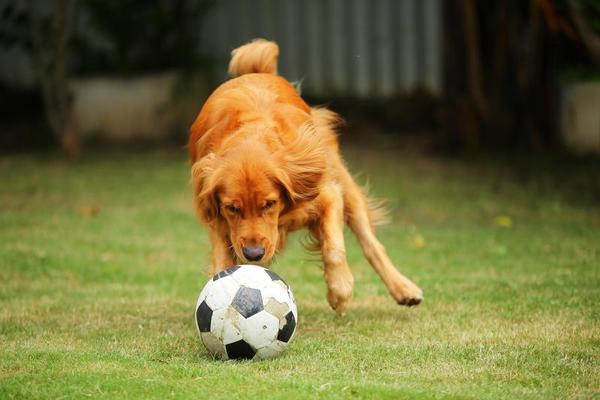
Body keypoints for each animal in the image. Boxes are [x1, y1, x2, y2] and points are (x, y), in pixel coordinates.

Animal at [189, 39, 422, 312]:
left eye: (269, 204)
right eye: (232, 208)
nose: (254, 254)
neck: (252, 134)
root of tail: (258, 73)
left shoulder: (326, 194)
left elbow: (334, 247)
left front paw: (339, 291)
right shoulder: (216, 216)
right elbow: (222, 263)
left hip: (341, 180)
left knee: (371, 243)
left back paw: (404, 288)